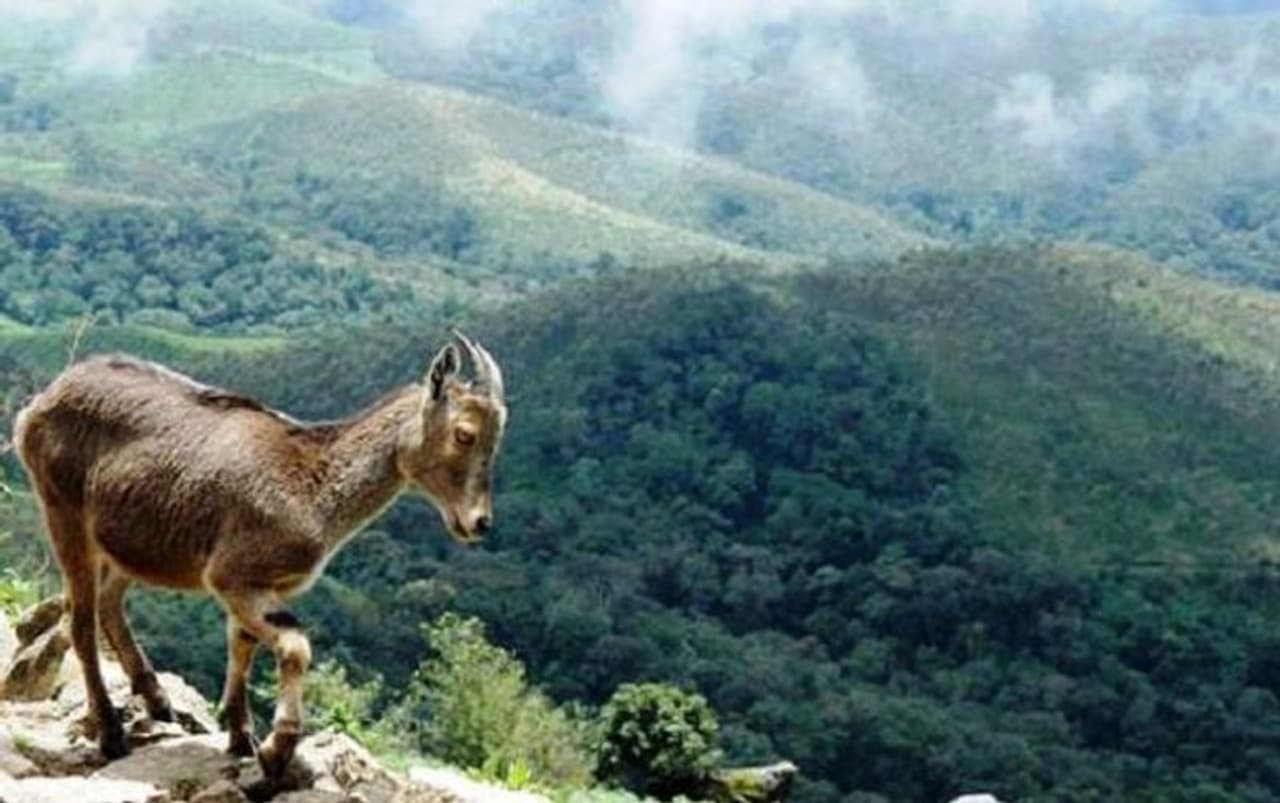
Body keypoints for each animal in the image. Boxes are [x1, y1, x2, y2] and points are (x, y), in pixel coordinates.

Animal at [11, 331, 506, 779]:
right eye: (465, 434)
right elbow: (295, 647)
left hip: (130, 542)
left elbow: (242, 646)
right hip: (63, 512)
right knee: (80, 619)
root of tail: (38, 404)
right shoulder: (234, 576)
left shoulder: (258, 586)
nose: (479, 522)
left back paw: (157, 700)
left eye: (496, 439)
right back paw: (112, 733)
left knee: (110, 603)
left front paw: (240, 736)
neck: (315, 486)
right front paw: (275, 750)